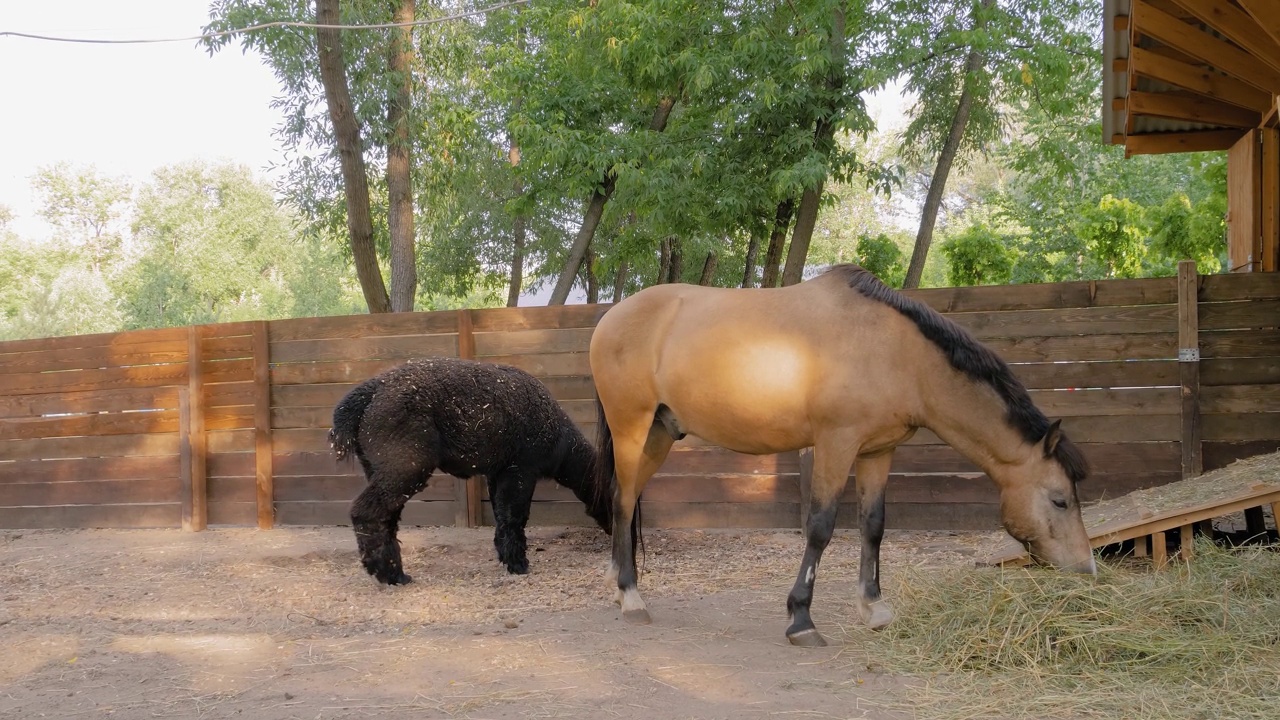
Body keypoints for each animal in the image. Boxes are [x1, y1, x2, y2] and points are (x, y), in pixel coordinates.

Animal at [593, 262, 1095, 645]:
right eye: (1060, 500)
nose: (1086, 570)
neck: (896, 353)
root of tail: (611, 318)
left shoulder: (878, 451)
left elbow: (873, 526)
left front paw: (874, 607)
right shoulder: (836, 444)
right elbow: (820, 527)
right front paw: (801, 619)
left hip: (660, 434)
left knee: (624, 498)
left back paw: (620, 588)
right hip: (632, 428)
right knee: (622, 500)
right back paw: (631, 597)